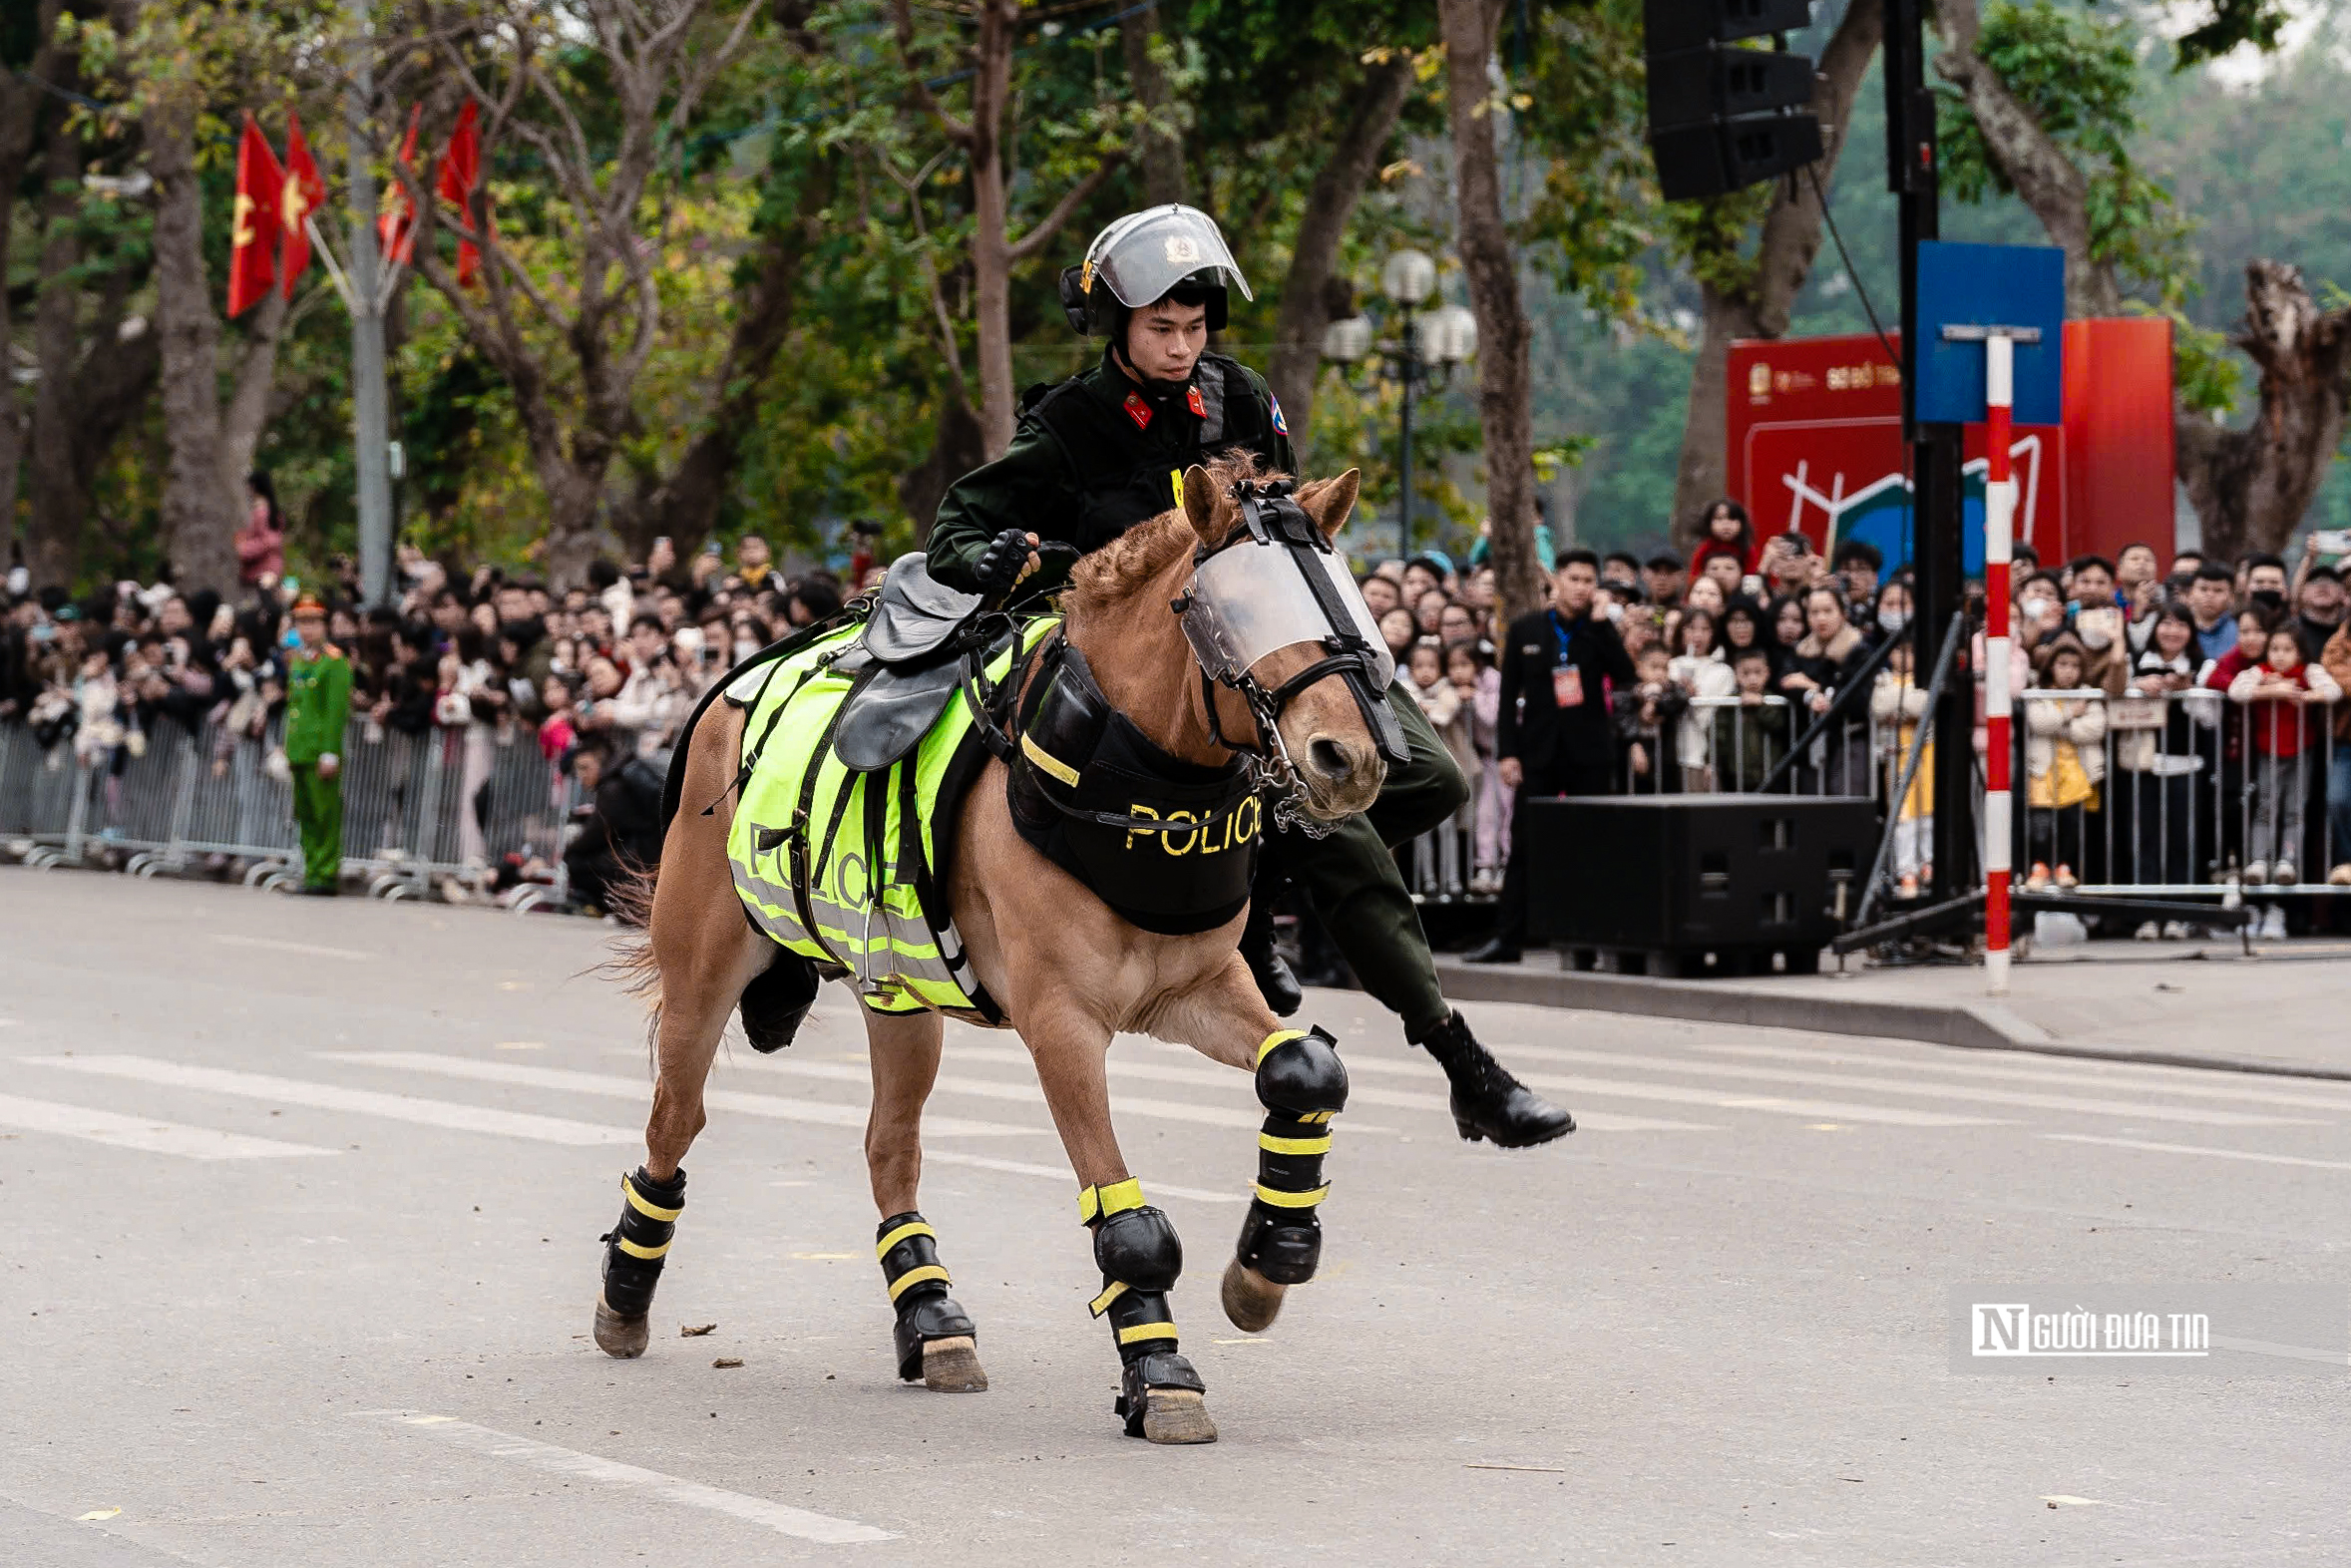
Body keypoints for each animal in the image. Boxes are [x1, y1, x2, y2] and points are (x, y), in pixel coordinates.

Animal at [596, 453, 1381, 1447]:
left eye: (1346, 597)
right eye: (1235, 605)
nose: (1348, 759)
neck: (1122, 772)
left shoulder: (1194, 987)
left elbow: (1302, 1070)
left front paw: (1267, 1260)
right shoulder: (1062, 1024)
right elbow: (1126, 1217)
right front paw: (1159, 1372)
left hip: (898, 995)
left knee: (888, 1146)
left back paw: (930, 1318)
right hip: (703, 972)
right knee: (675, 1121)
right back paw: (626, 1289)